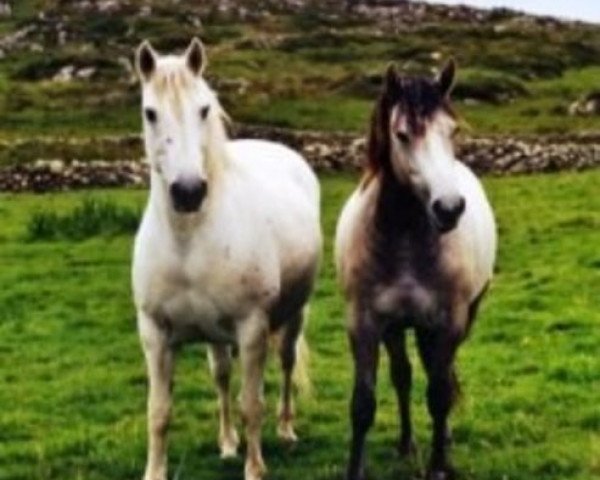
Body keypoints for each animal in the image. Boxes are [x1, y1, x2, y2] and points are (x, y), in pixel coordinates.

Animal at [129, 38, 322, 480]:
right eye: (150, 112)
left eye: (203, 109)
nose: (188, 192)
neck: (189, 241)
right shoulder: (154, 334)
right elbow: (159, 412)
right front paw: (155, 470)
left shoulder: (252, 330)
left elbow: (252, 404)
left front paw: (255, 468)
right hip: (215, 335)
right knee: (221, 376)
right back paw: (229, 442)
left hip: (293, 315)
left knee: (286, 364)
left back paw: (286, 429)